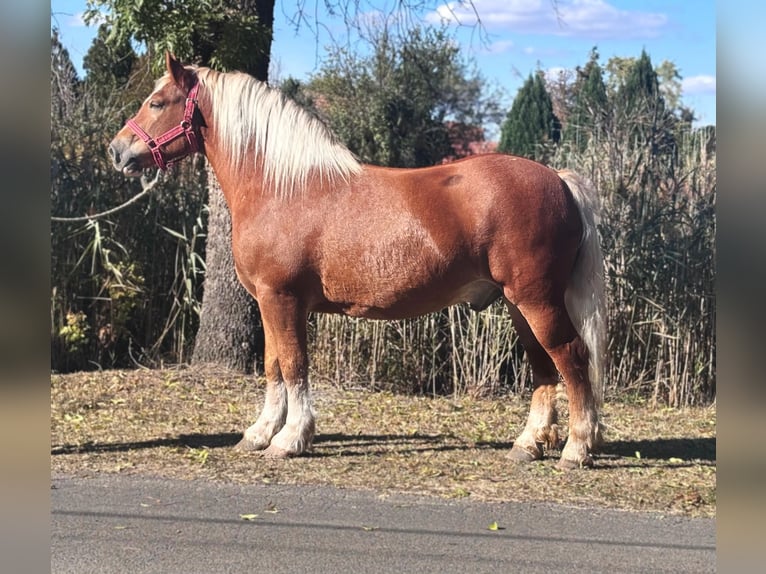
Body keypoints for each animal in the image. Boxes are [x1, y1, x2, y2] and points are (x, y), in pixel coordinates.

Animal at [109, 53, 607, 469]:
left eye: (157, 102)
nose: (117, 150)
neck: (281, 186)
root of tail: (558, 179)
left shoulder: (282, 299)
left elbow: (294, 365)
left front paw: (290, 439)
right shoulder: (270, 304)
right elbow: (273, 366)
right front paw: (258, 434)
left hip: (537, 301)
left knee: (571, 356)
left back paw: (577, 449)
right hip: (518, 304)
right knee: (543, 366)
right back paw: (528, 444)